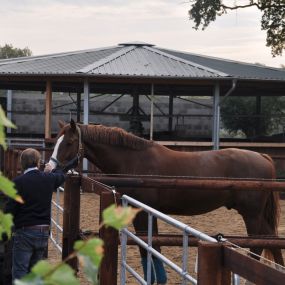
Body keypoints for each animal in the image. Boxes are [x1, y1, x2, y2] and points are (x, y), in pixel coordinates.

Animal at [50, 119, 282, 282]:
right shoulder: (147, 212)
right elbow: (152, 247)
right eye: (56, 142)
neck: (134, 162)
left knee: (257, 245)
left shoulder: (142, 212)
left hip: (251, 215)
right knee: (271, 239)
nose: (49, 168)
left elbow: (148, 246)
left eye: (69, 142)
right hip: (257, 216)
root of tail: (263, 157)